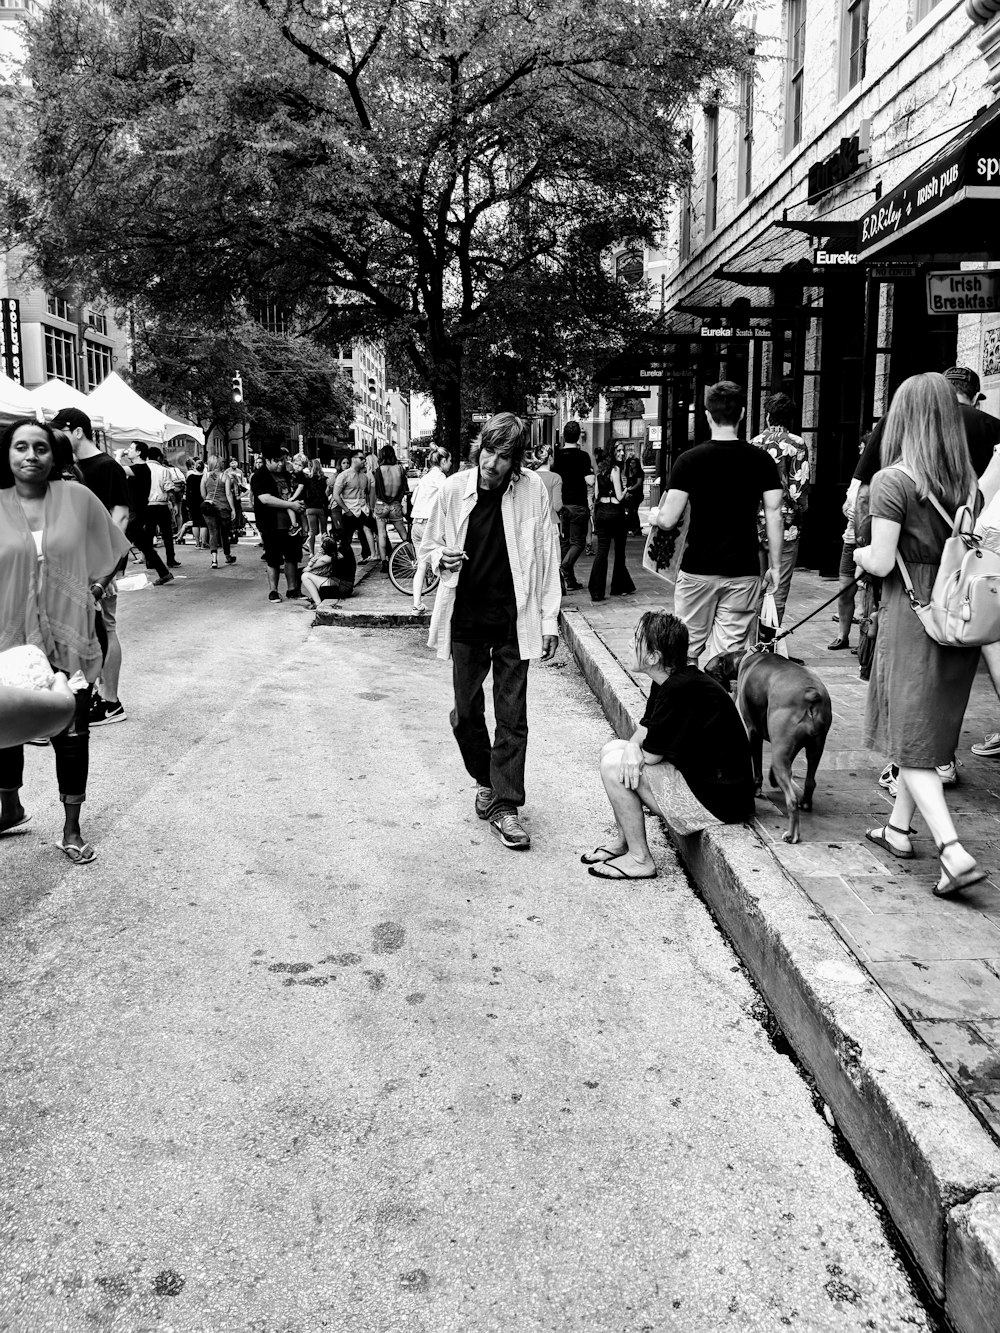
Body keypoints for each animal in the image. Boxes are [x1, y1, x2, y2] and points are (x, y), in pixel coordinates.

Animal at [704, 645, 837, 842]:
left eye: (709, 671)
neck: (745, 657)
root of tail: (811, 694)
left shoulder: (753, 731)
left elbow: (757, 766)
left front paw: (756, 789)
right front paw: (772, 779)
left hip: (781, 750)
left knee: (791, 800)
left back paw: (792, 834)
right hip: (814, 747)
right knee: (810, 781)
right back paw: (806, 802)